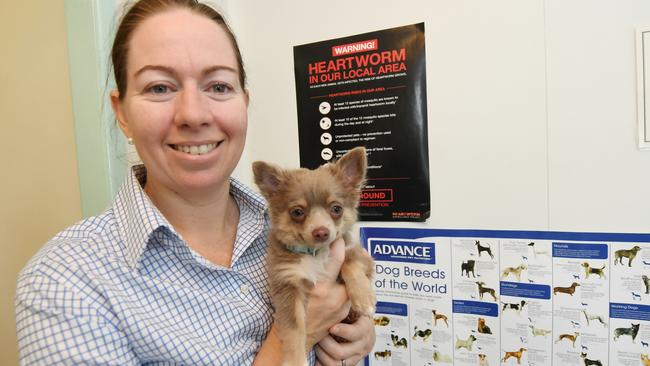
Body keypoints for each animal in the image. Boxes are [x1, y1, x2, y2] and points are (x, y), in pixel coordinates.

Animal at [253, 147, 374, 364]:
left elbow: (351, 265)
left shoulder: (358, 253)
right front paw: (294, 359)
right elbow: (293, 328)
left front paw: (364, 298)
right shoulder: (287, 285)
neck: (315, 254)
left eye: (336, 209)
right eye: (297, 212)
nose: (321, 232)